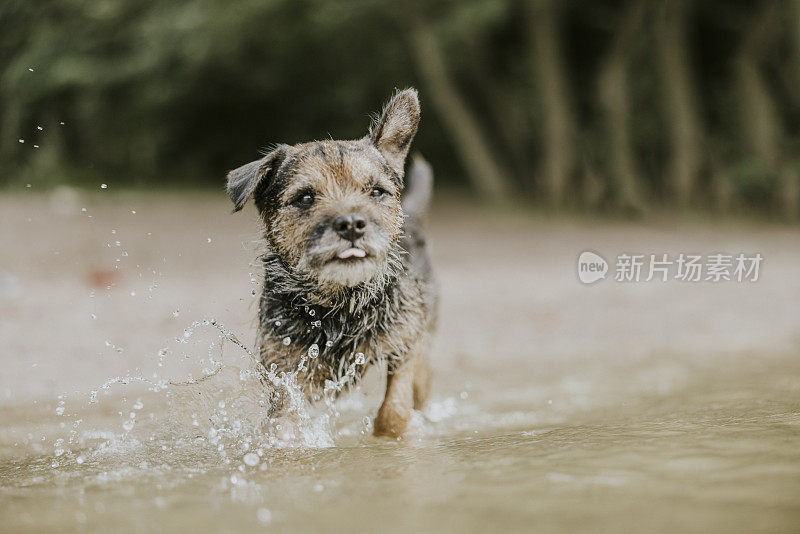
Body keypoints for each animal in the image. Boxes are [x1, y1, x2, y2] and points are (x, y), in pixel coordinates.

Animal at [225, 89, 438, 440]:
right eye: (305, 198)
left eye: (376, 191)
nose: (351, 225)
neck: (342, 304)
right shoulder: (285, 372)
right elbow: (282, 425)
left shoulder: (407, 344)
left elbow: (393, 411)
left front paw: (397, 429)